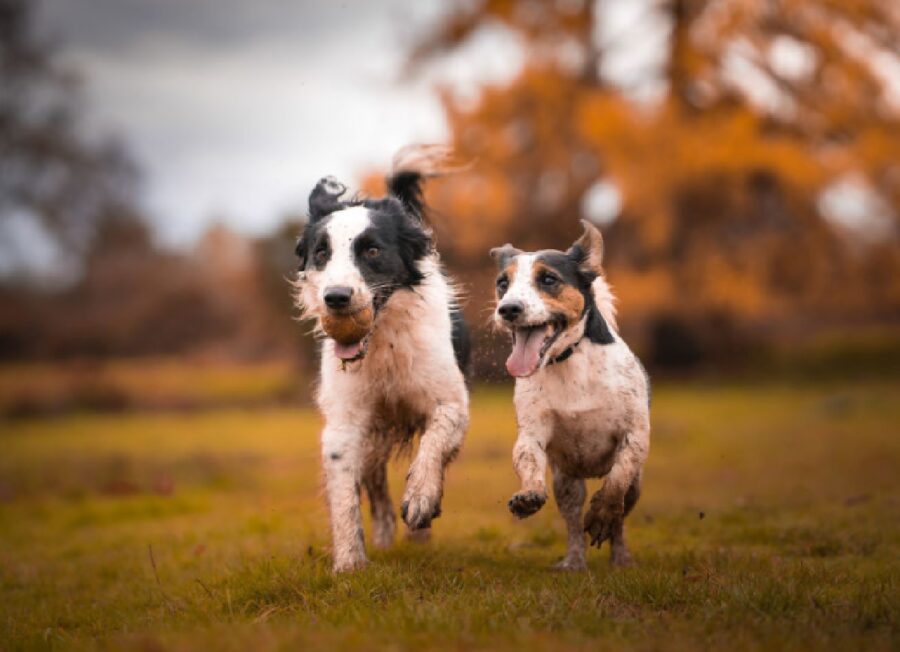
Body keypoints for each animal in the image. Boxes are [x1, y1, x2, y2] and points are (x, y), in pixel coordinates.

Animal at [294, 146, 472, 572]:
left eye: (372, 250)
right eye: (321, 253)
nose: (337, 298)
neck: (382, 343)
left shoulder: (451, 402)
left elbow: (434, 445)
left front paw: (422, 498)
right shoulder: (345, 423)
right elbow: (345, 496)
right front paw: (349, 563)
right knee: (375, 487)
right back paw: (386, 535)